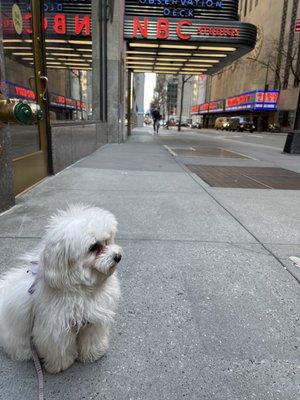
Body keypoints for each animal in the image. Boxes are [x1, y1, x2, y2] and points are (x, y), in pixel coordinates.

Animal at [0, 205, 123, 374]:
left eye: (107, 240)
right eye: (93, 247)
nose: (117, 256)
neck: (82, 289)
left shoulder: (93, 320)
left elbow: (92, 338)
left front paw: (93, 354)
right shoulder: (54, 329)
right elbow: (58, 349)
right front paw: (60, 364)